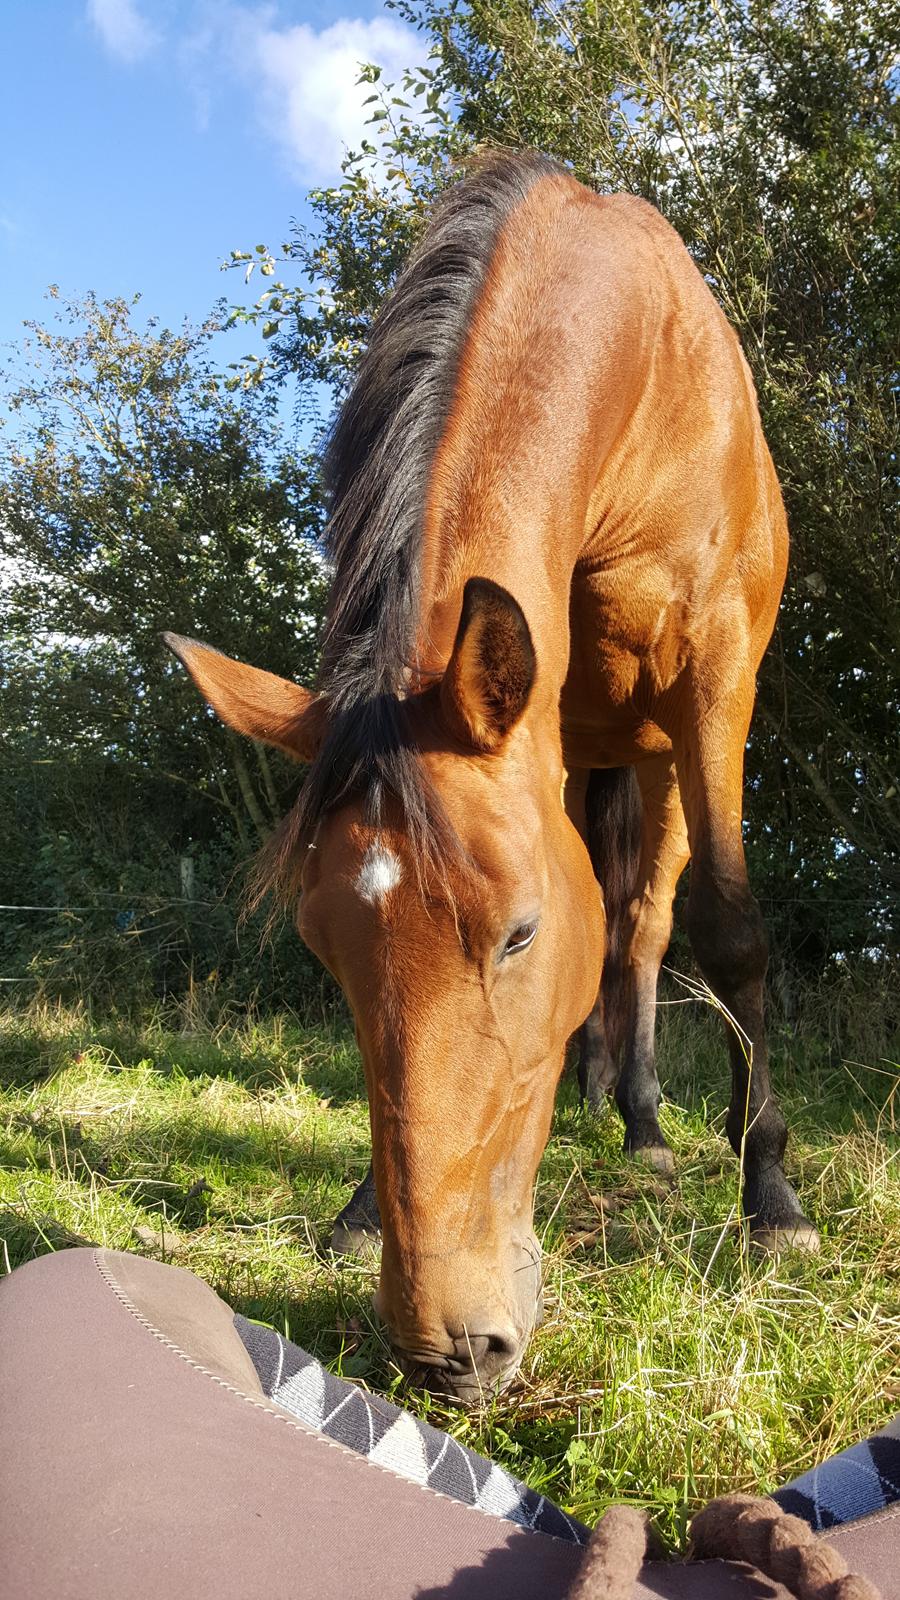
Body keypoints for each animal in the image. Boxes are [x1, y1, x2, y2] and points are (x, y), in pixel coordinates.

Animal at [164, 150, 816, 1401]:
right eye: (324, 948)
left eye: (518, 934)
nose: (449, 1348)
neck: (641, 373)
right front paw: (360, 1209)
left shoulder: (715, 681)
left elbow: (731, 931)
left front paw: (770, 1194)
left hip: (662, 760)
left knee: (650, 921)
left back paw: (658, 1130)